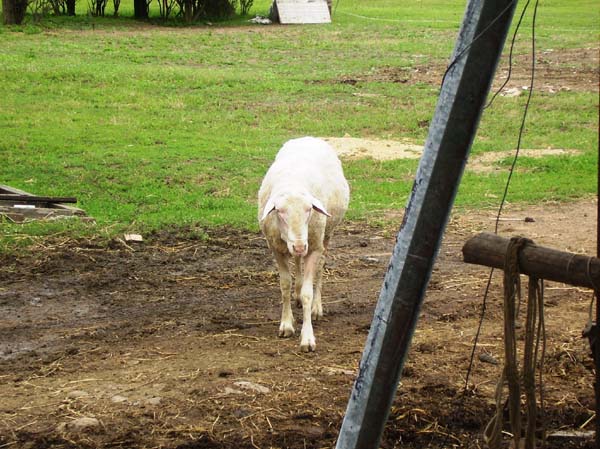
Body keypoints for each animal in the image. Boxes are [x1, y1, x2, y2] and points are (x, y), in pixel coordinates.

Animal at [256, 135, 350, 352]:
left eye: (309, 209)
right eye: (280, 211)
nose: (299, 246)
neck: (293, 183)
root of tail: (309, 137)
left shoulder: (313, 245)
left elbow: (308, 292)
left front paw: (307, 338)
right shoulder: (276, 248)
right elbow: (284, 285)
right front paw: (286, 324)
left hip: (325, 235)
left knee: (320, 268)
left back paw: (316, 308)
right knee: (297, 263)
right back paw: (297, 293)